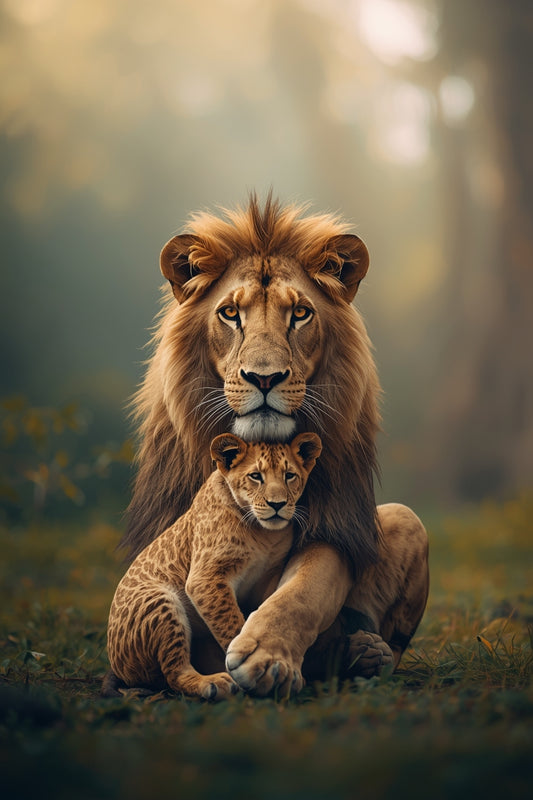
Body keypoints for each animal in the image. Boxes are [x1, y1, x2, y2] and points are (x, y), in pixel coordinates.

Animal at [120, 193, 429, 695]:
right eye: (230, 313)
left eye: (300, 313)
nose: (264, 378)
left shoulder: (330, 525)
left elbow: (306, 587)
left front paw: (266, 654)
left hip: (406, 518)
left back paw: (365, 652)